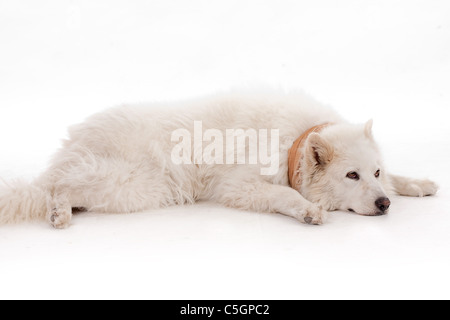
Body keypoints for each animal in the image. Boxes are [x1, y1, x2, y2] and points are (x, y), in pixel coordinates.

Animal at [0, 91, 438, 229]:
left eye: (374, 172)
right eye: (351, 175)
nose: (384, 204)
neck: (293, 142)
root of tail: (73, 143)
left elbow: (400, 178)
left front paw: (418, 184)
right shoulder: (239, 186)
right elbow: (284, 196)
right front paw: (308, 211)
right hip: (127, 182)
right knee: (57, 187)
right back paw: (58, 212)